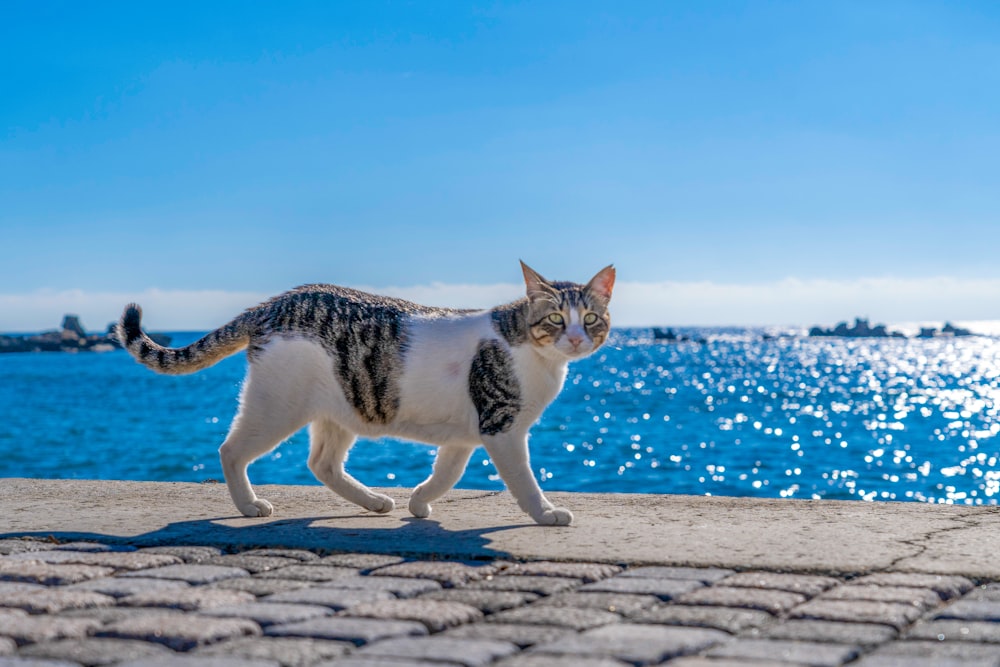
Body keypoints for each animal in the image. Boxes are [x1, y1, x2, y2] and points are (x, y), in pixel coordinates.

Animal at [120, 260, 612, 528]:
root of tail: (273, 302)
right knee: (230, 449)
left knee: (322, 463)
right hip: (277, 405)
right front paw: (546, 513)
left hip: (343, 406)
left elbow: (446, 474)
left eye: (590, 318)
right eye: (555, 319)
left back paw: (374, 501)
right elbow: (524, 481)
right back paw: (248, 505)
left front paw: (419, 501)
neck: (536, 354)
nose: (575, 339)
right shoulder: (501, 427)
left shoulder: (464, 435)